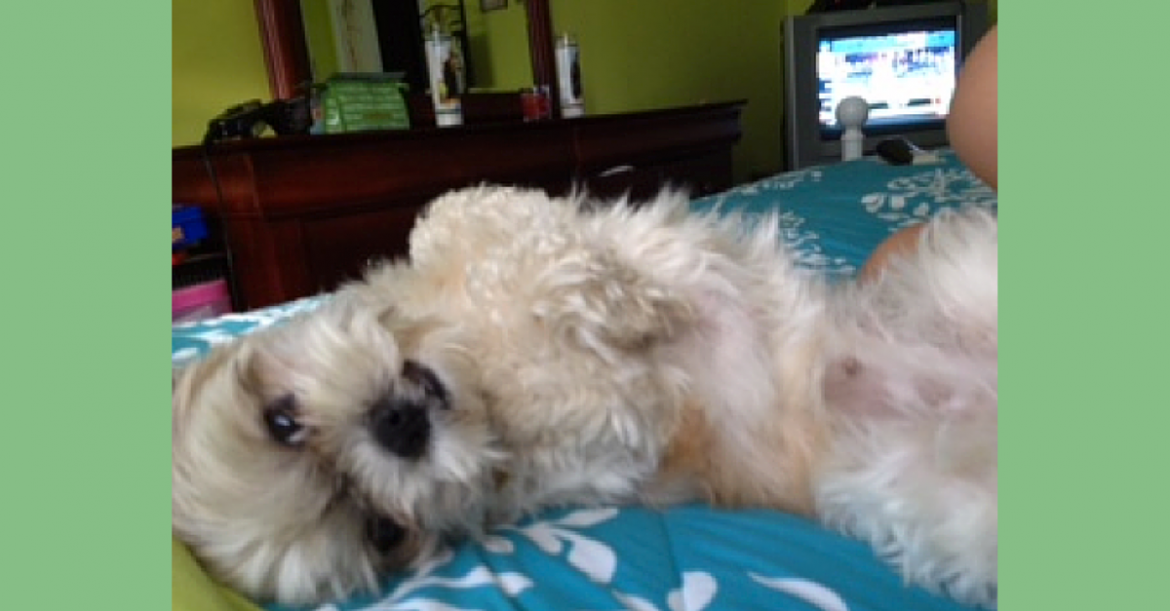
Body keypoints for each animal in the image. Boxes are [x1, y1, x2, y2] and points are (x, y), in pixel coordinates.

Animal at [172, 185, 997, 607]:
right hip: (941, 511)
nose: (399, 427)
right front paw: (606, 307)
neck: (473, 360)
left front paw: (607, 288)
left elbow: (452, 214)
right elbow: (603, 380)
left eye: (280, 418)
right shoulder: (613, 435)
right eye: (383, 531)